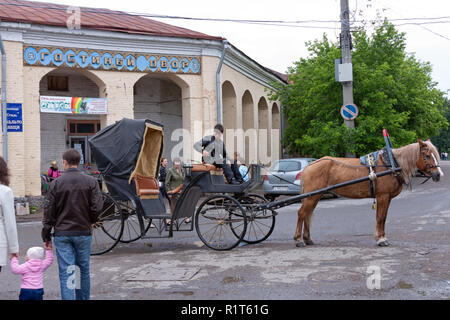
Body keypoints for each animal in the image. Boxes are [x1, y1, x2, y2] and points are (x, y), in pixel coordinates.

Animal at [296, 139, 442, 248]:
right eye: (427, 155)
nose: (438, 175)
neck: (391, 164)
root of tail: (309, 166)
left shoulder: (387, 198)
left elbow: (383, 218)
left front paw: (381, 237)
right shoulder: (383, 196)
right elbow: (380, 217)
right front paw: (381, 239)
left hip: (314, 196)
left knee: (307, 214)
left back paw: (307, 239)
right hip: (312, 197)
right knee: (302, 213)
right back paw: (299, 240)